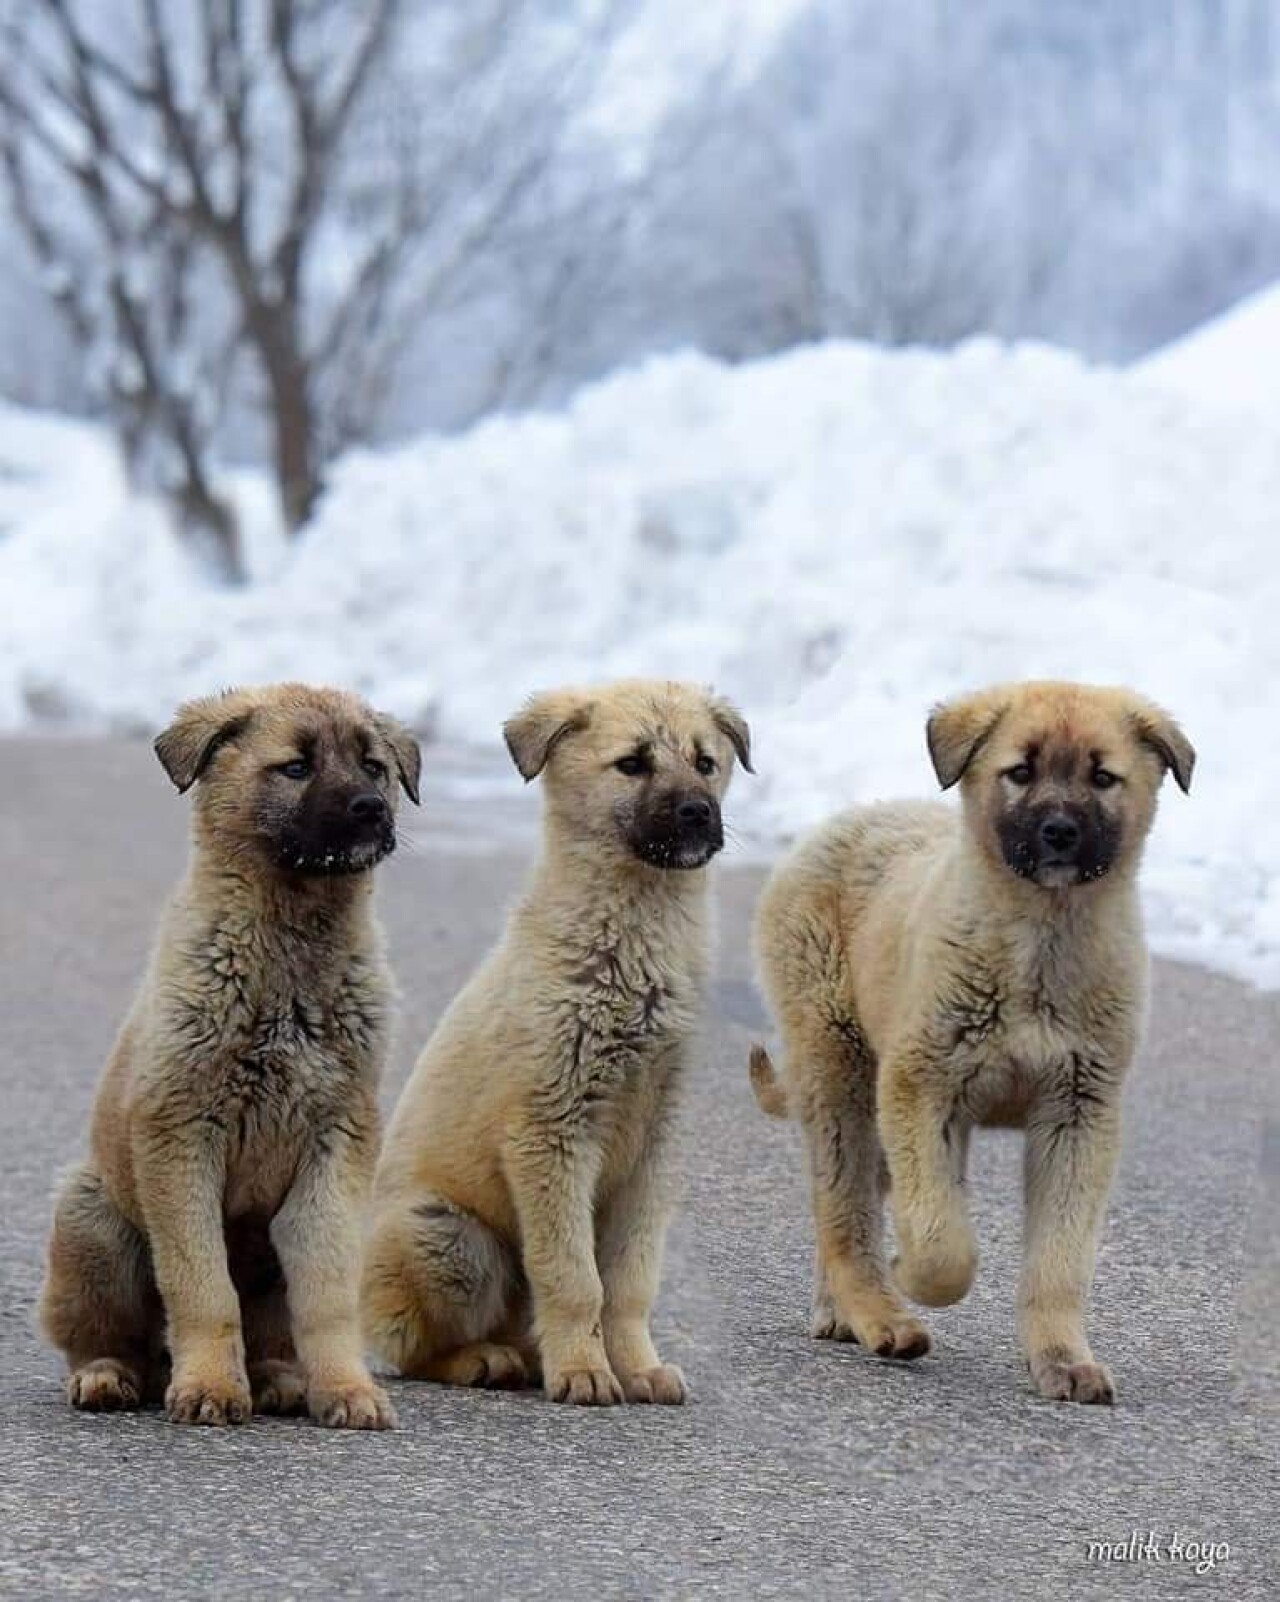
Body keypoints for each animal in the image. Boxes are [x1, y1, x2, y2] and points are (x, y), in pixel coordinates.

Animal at [38, 682, 419, 1435]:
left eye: (375, 766)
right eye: (295, 767)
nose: (371, 808)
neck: (291, 950)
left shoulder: (337, 1144)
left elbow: (328, 1293)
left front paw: (347, 1388)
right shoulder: (181, 1139)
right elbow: (203, 1285)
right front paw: (211, 1386)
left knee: (272, 1331)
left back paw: (278, 1379)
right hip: (92, 1223)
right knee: (106, 1339)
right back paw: (108, 1376)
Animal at [360, 682, 749, 1409]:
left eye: (705, 763)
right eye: (632, 764)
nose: (698, 813)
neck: (631, 947)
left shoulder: (655, 1145)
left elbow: (628, 1281)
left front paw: (639, 1368)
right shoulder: (551, 1131)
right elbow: (574, 1279)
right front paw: (586, 1372)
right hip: (448, 1235)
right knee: (412, 1349)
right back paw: (487, 1361)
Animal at [756, 682, 1198, 1409]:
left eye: (1102, 777)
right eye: (1019, 771)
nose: (1059, 832)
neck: (1040, 945)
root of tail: (852, 817)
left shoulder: (1078, 1112)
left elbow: (1059, 1257)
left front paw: (1063, 1360)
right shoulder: (920, 1086)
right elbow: (942, 1245)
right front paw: (910, 1271)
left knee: (856, 1205)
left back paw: (843, 1309)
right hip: (841, 1070)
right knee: (844, 1211)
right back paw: (881, 1315)